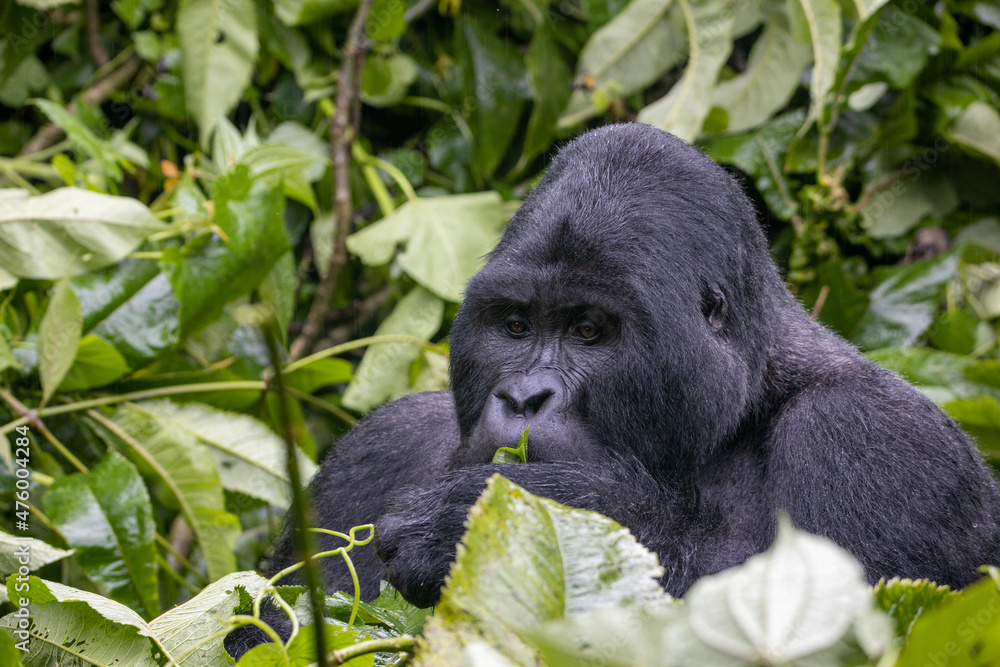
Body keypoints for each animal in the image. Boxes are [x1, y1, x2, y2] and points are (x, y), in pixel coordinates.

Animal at [227, 124, 1000, 656]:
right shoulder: (376, 450)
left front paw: (527, 519)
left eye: (589, 331)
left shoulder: (875, 439)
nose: (525, 398)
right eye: (516, 324)